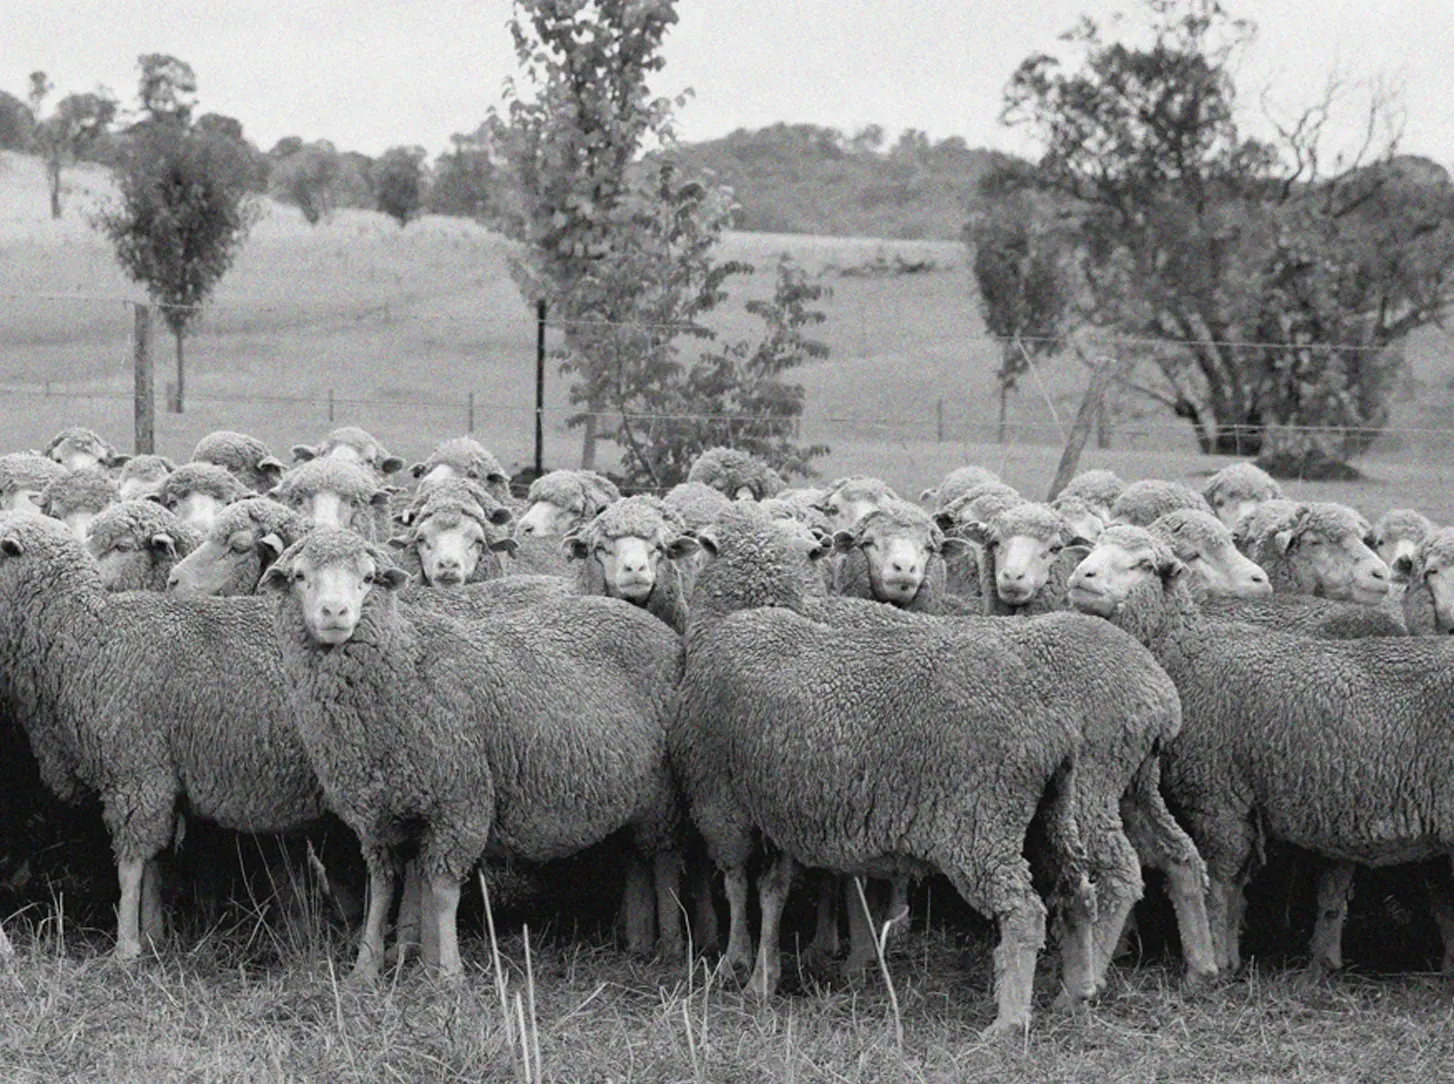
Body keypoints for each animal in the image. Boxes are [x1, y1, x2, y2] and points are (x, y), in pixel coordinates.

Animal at [0, 512, 330, 959]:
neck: (85, 632)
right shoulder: (157, 777)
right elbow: (155, 864)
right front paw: (154, 934)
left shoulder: (138, 771)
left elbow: (132, 866)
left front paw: (126, 948)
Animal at [261, 528, 684, 977]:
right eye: (300, 576)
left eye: (368, 578)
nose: (335, 611)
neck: (408, 666)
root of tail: (653, 625)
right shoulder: (377, 816)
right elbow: (385, 888)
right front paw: (369, 966)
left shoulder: (459, 802)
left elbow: (443, 890)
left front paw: (447, 973)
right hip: (633, 793)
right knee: (636, 856)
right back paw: (638, 938)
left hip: (665, 791)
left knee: (665, 859)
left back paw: (672, 945)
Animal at [673, 503, 1201, 1033]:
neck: (756, 611)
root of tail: (1159, 688)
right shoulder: (791, 800)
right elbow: (783, 890)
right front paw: (814, 965)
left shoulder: (722, 799)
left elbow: (740, 885)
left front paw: (739, 965)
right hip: (1089, 798)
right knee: (1113, 878)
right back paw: (1102, 985)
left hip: (995, 816)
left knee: (1052, 899)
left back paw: (1013, 1021)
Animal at [1067, 524, 1454, 975]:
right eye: (1093, 548)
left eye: (1145, 564)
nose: (1083, 577)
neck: (1187, 652)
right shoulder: (1240, 798)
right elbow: (1236, 884)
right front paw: (1230, 954)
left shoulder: (1216, 795)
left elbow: (1220, 880)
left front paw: (1218, 956)